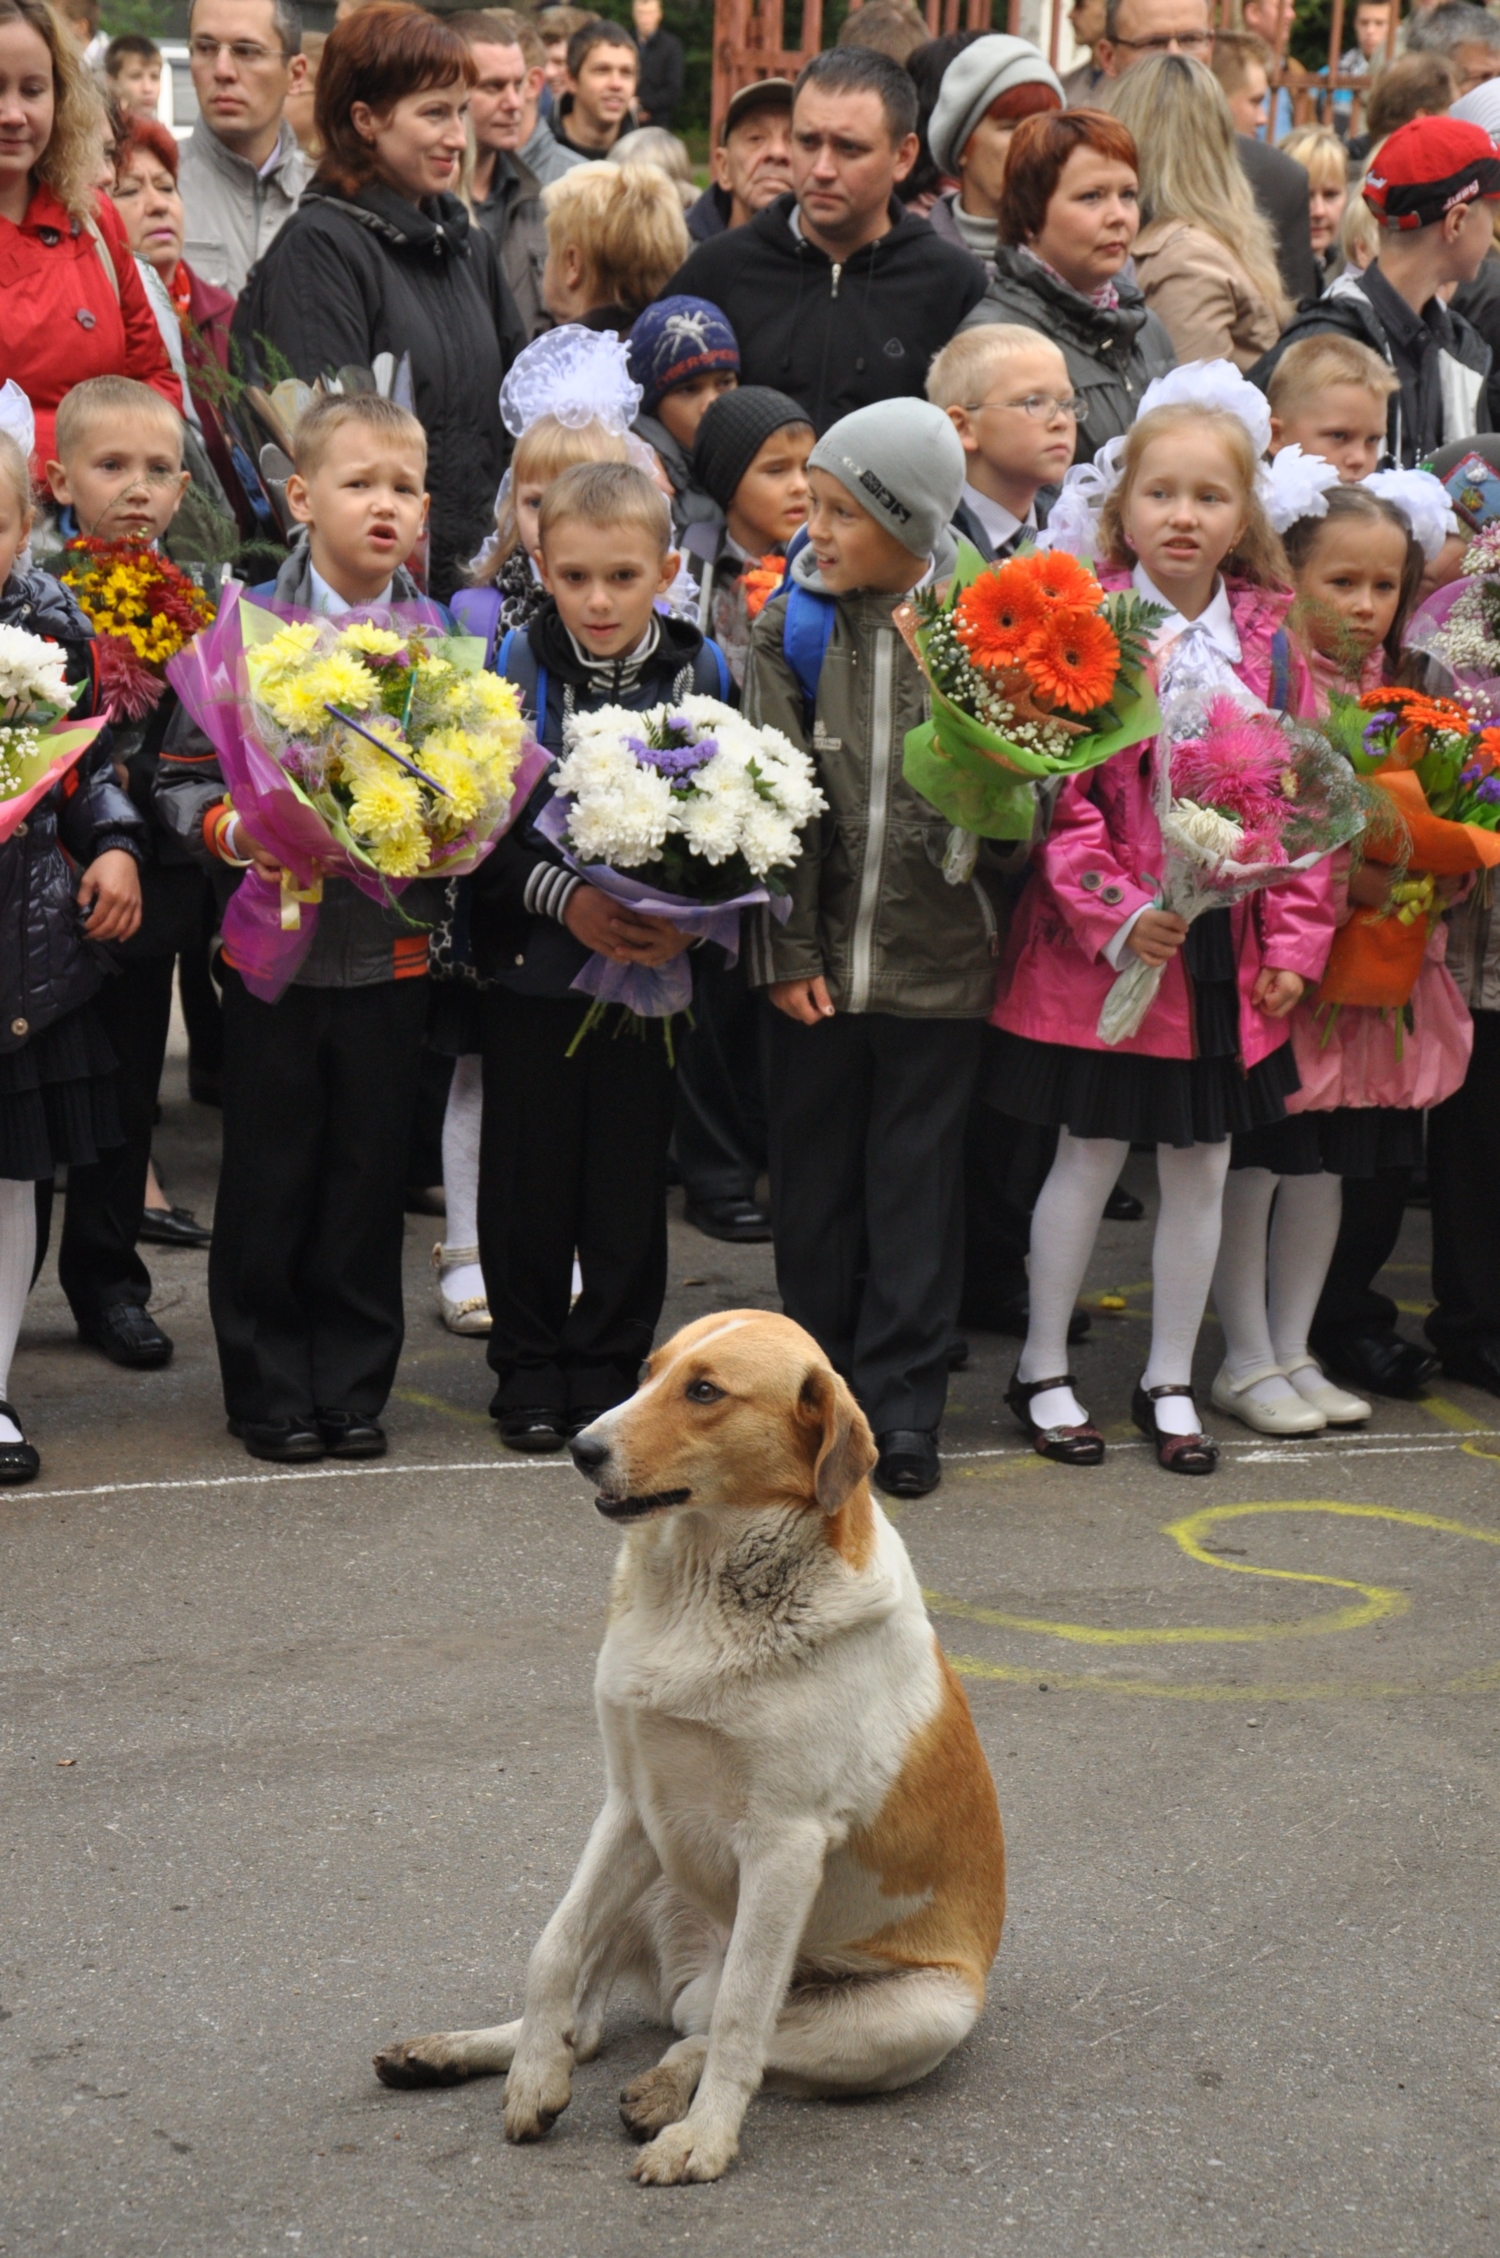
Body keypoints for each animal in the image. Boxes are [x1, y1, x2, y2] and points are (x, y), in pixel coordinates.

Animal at [375, 1318, 1007, 2176]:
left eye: (705, 1391)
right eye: (648, 1373)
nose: (580, 1447)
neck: (704, 1591)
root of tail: (685, 1978)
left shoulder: (783, 1847)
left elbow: (743, 2019)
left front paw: (704, 2141)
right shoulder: (628, 1804)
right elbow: (553, 1948)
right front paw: (532, 2076)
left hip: (915, 2013)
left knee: (717, 2031)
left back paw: (664, 2095)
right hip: (659, 1865)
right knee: (597, 2024)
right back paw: (458, 2053)